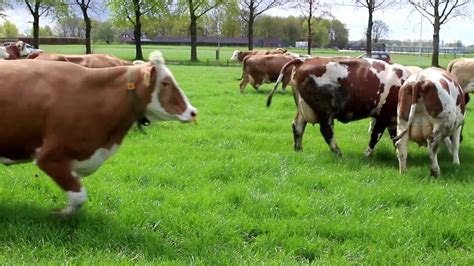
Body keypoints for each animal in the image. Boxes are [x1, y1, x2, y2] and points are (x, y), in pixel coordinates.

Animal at [266, 56, 412, 156]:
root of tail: (303, 60)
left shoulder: (392, 120)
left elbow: (395, 137)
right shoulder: (383, 116)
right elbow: (375, 136)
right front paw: (367, 154)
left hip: (303, 108)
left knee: (297, 126)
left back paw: (299, 149)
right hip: (324, 111)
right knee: (326, 130)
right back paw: (337, 152)